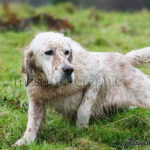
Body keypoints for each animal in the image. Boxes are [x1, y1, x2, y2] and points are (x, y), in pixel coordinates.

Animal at [14, 31, 150, 145]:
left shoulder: (96, 74)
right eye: (49, 52)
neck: (54, 87)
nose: (69, 69)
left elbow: (83, 108)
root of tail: (125, 58)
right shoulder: (36, 100)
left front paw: (81, 128)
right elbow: (32, 122)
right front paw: (25, 141)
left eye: (67, 52)